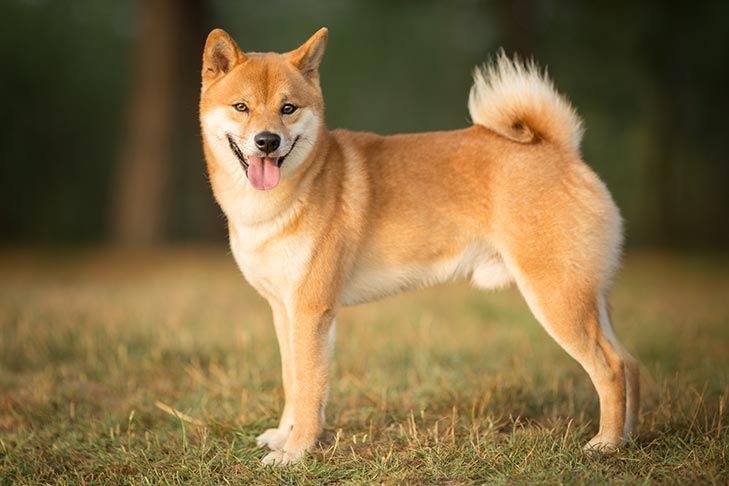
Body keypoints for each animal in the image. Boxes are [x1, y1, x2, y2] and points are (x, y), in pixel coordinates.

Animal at [198, 27, 636, 468]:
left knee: (612, 367)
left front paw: (296, 452)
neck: (287, 197)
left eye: (288, 108)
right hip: (587, 298)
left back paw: (605, 443)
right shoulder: (284, 309)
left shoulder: (311, 310)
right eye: (241, 107)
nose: (267, 141)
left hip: (558, 298)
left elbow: (309, 388)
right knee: (630, 363)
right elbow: (292, 380)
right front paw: (282, 436)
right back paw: (628, 438)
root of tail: (561, 150)